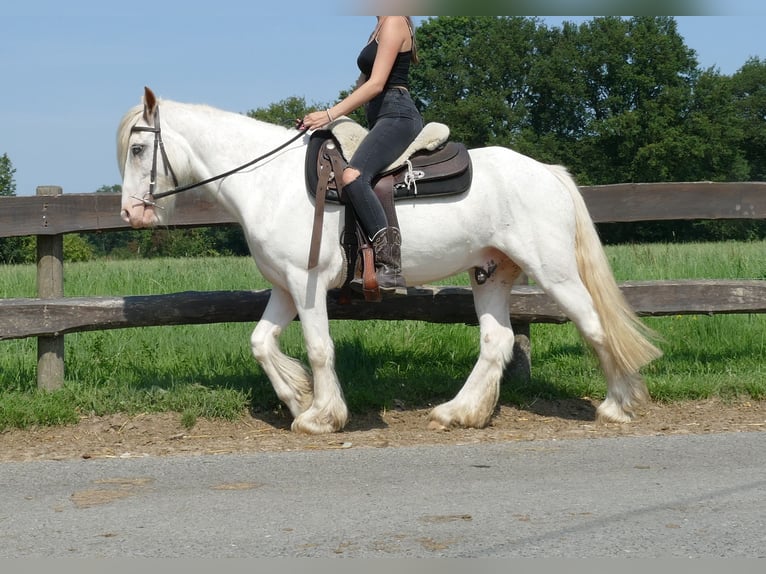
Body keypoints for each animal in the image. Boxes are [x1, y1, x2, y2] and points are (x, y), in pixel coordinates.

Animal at [117, 88, 664, 434]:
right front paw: (297, 397)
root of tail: (546, 171)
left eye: (140, 147)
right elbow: (260, 343)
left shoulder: (307, 283)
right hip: (490, 273)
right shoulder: (285, 287)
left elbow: (319, 349)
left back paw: (616, 405)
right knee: (497, 342)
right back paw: (458, 413)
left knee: (593, 325)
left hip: (555, 272)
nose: (130, 213)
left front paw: (322, 416)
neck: (269, 181)